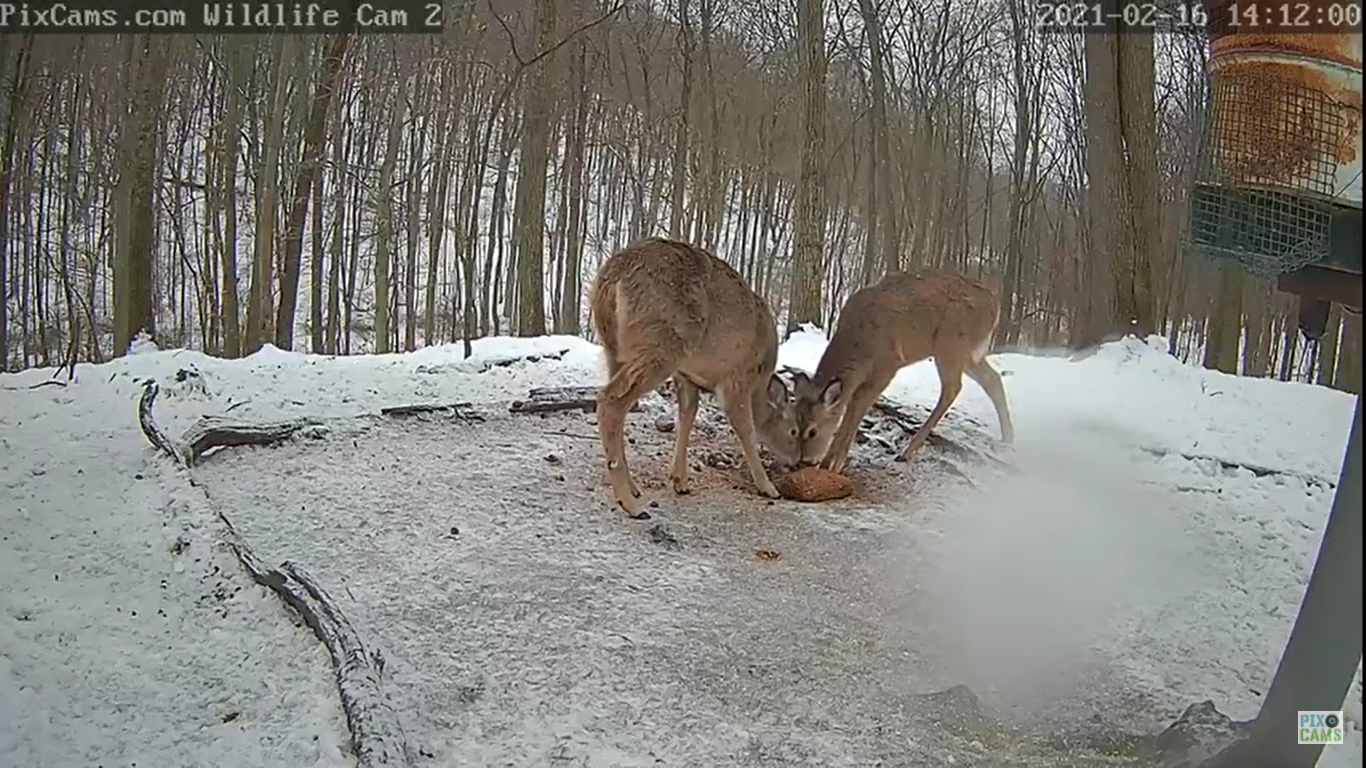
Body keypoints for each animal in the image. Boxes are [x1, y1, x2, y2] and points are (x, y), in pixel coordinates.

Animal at [589, 237, 802, 519]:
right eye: (794, 430)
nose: (798, 462)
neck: (760, 382)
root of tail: (613, 276)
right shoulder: (736, 378)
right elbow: (745, 429)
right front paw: (768, 487)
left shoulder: (687, 376)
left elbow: (687, 415)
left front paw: (680, 480)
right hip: (659, 345)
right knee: (610, 399)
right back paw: (629, 503)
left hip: (615, 348)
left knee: (617, 405)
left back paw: (632, 488)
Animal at [789, 270, 1016, 475]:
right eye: (795, 428)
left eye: (813, 431)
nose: (804, 461)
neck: (859, 342)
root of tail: (995, 306)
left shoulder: (888, 363)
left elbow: (857, 404)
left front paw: (832, 464)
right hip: (966, 353)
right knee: (992, 379)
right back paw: (1008, 437)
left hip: (951, 341)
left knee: (953, 388)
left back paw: (906, 452)